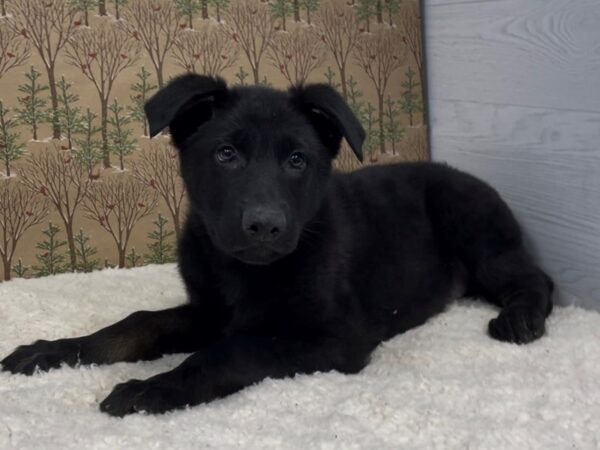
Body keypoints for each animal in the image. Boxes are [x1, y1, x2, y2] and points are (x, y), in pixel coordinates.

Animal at [1, 74, 552, 414]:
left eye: (297, 160)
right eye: (225, 154)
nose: (264, 226)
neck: (242, 270)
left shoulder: (333, 337)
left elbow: (229, 353)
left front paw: (153, 387)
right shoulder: (209, 310)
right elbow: (137, 324)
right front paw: (53, 351)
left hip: (476, 231)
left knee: (535, 277)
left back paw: (520, 318)